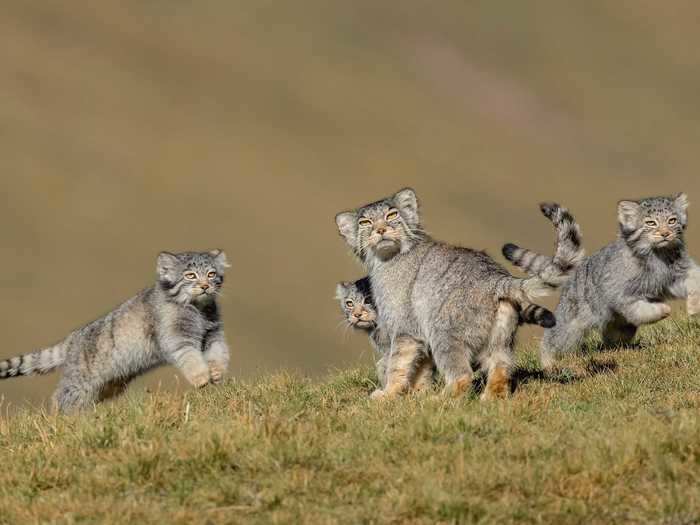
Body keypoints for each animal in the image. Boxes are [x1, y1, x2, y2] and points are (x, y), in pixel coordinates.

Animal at [0, 251, 231, 414]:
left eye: (211, 274)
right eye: (190, 275)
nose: (205, 286)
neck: (199, 310)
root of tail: (71, 339)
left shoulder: (213, 334)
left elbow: (219, 351)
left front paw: (217, 372)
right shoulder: (176, 337)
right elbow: (190, 356)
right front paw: (201, 377)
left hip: (108, 383)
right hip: (80, 381)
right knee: (61, 397)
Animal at [334, 190, 552, 400]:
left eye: (392, 214)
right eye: (365, 223)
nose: (380, 230)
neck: (387, 260)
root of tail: (496, 278)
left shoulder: (405, 329)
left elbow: (396, 365)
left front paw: (388, 394)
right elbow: (419, 368)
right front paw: (416, 392)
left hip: (443, 333)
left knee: (463, 375)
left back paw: (439, 400)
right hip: (499, 339)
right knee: (501, 368)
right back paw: (489, 399)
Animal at [536, 193, 696, 368]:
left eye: (672, 220)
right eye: (651, 223)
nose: (665, 233)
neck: (658, 255)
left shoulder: (677, 275)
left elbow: (694, 280)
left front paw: (694, 306)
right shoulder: (621, 295)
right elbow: (640, 310)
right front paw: (662, 309)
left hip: (620, 327)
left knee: (611, 339)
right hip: (570, 327)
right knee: (551, 340)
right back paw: (547, 362)